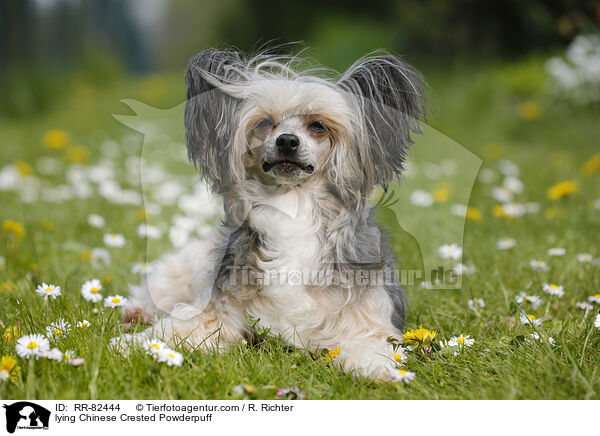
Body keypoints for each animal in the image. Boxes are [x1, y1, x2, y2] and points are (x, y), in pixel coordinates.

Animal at [124, 48, 426, 382]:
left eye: (317, 125)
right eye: (266, 123)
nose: (287, 141)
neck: (292, 206)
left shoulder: (364, 319)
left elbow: (371, 346)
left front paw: (384, 370)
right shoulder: (216, 312)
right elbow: (172, 329)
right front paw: (127, 345)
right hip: (186, 268)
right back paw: (134, 312)